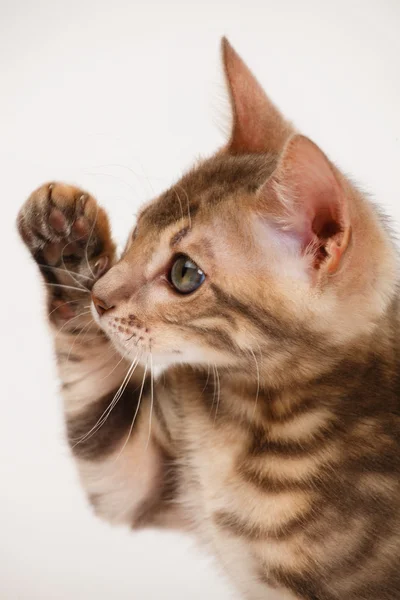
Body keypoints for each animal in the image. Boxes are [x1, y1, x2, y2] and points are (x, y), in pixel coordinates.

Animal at [16, 38, 400, 600]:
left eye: (184, 274)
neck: (249, 416)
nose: (100, 299)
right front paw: (65, 240)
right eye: (138, 229)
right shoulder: (141, 474)